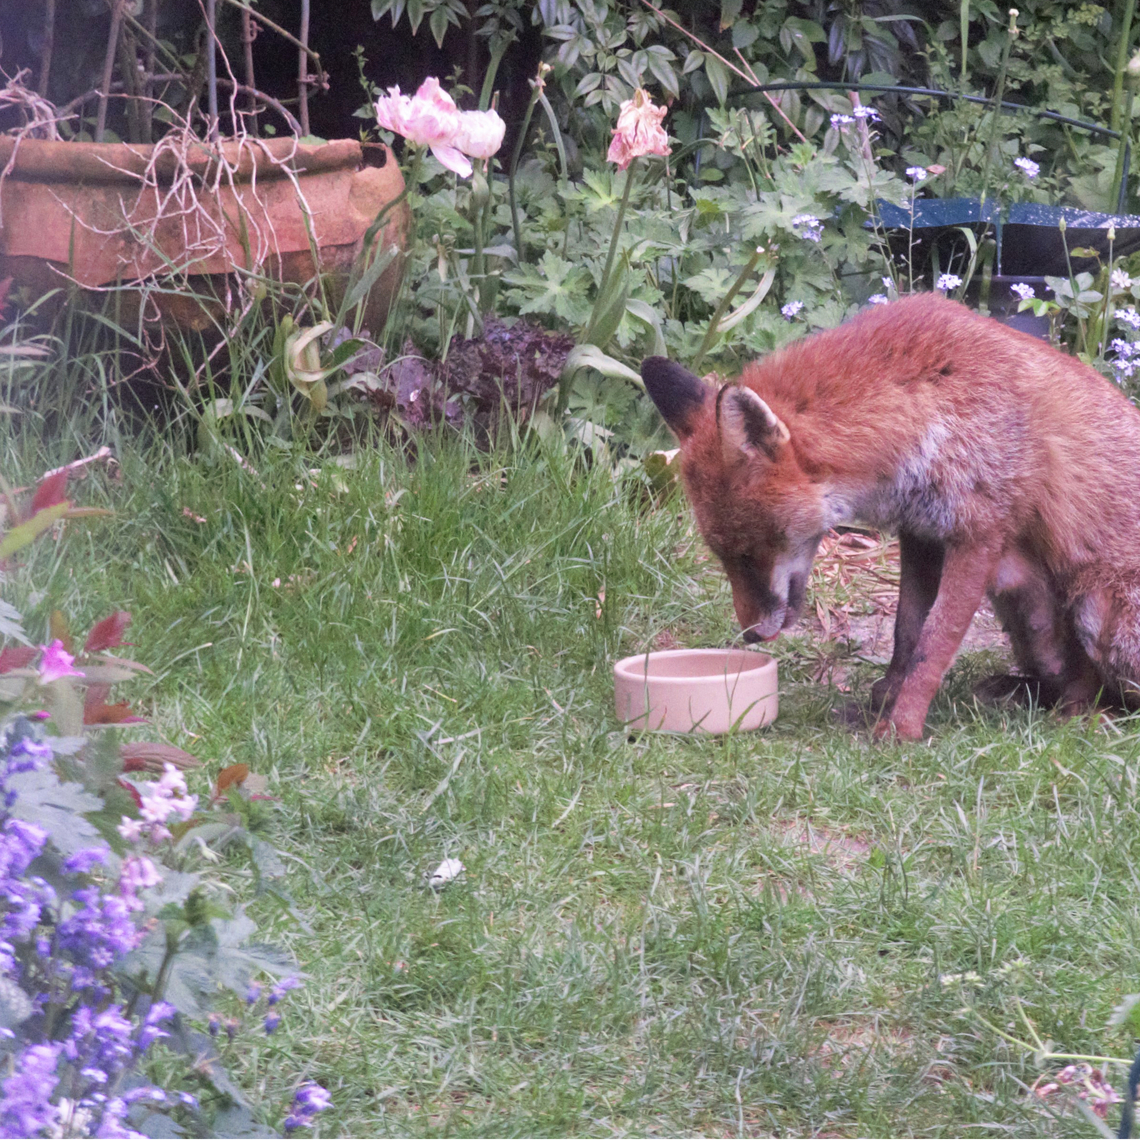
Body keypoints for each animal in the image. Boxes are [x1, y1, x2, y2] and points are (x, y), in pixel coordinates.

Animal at [641, 292, 1140, 741]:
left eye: (747, 553)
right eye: (722, 556)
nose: (748, 637)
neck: (923, 406)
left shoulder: (978, 535)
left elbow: (934, 643)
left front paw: (902, 728)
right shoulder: (921, 534)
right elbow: (907, 633)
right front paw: (887, 699)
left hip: (1097, 609)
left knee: (1111, 695)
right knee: (1071, 678)